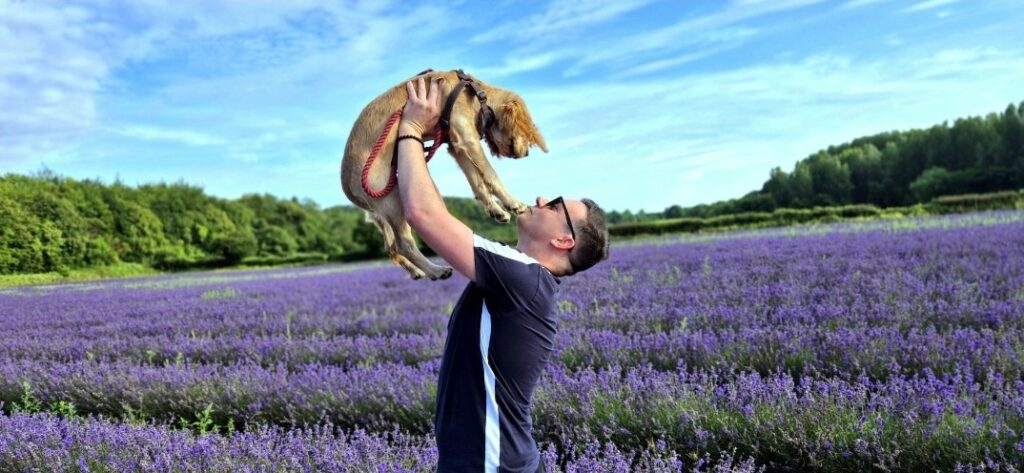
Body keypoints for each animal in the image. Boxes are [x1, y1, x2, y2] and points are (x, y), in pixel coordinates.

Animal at [339, 68, 548, 278]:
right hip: (393, 199)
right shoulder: (468, 139)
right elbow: (491, 174)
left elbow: (477, 183)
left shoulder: (456, 147)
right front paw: (514, 204)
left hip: (384, 210)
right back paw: (436, 271)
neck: (477, 94)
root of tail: (348, 186)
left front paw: (495, 210)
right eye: (526, 134)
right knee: (404, 244)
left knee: (392, 248)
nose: (526, 153)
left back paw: (418, 272)